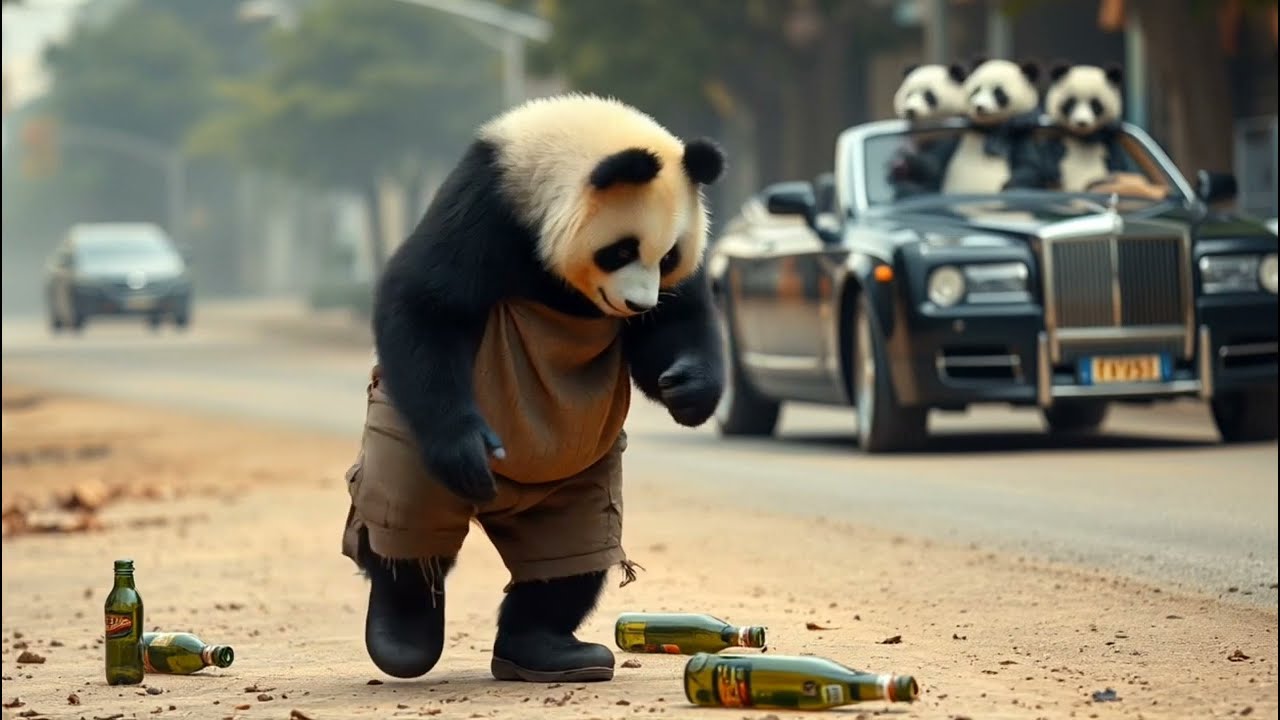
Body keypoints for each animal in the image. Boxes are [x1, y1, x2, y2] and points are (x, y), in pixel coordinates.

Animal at [340, 93, 726, 683]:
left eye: (668, 257)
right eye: (621, 250)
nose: (637, 304)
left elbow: (678, 321)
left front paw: (686, 386)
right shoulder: (487, 208)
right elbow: (427, 302)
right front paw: (467, 446)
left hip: (577, 477)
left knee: (569, 558)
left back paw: (549, 650)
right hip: (405, 445)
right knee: (408, 529)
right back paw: (402, 637)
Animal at [889, 63, 970, 198]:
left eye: (928, 96)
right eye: (908, 95)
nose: (910, 111)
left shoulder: (957, 130)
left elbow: (934, 165)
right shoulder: (911, 136)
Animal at [939, 57, 1045, 194]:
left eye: (998, 93)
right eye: (976, 90)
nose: (980, 107)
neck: (988, 128)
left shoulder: (1018, 136)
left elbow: (1029, 165)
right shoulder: (959, 131)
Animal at [1041, 63, 1128, 192]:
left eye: (1095, 105)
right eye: (1071, 102)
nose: (1082, 123)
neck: (1083, 138)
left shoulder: (1110, 145)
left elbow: (1118, 166)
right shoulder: (1055, 138)